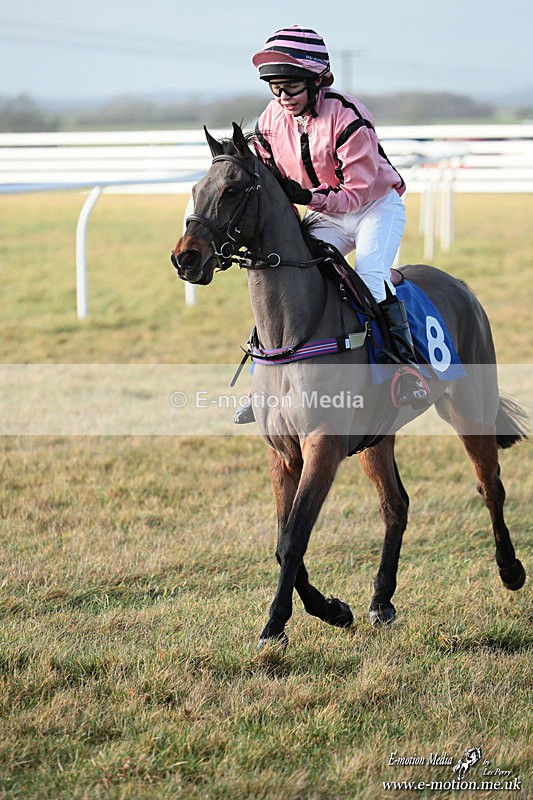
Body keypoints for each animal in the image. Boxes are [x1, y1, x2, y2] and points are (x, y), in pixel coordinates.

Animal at [171, 123, 527, 651]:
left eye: (232, 190)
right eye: (196, 189)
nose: (185, 258)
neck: (292, 333)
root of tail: (461, 285)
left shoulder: (323, 444)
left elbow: (294, 536)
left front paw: (275, 626)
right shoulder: (283, 451)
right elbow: (284, 541)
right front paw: (333, 610)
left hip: (469, 408)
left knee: (491, 486)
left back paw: (510, 570)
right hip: (377, 437)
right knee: (395, 504)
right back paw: (382, 600)